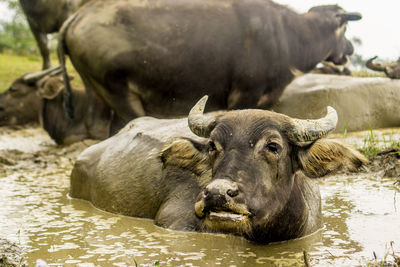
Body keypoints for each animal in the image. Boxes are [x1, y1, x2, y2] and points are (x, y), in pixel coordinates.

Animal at [59, 0, 362, 132]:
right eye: (344, 28)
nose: (350, 49)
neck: (290, 35)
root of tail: (79, 16)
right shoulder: (244, 93)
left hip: (95, 89)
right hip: (118, 90)